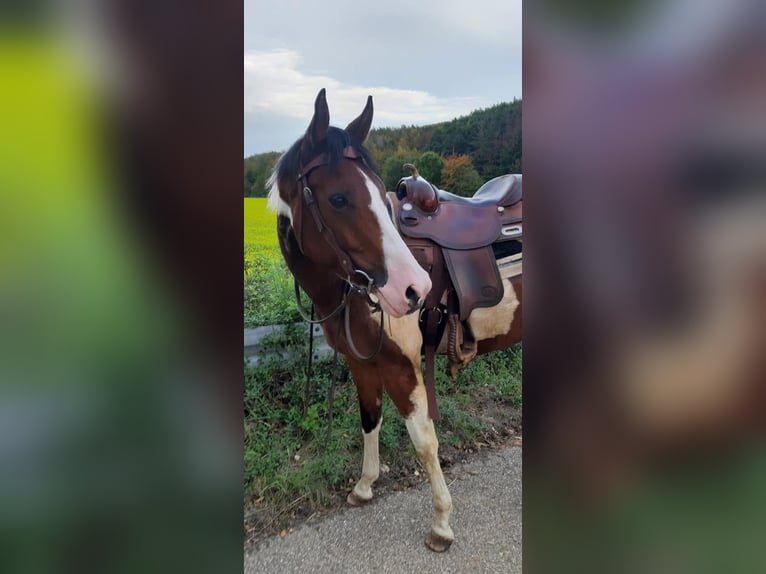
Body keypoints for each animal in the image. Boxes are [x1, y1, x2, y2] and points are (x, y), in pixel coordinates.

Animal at [268, 90, 524, 552]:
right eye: (338, 198)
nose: (414, 289)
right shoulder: (362, 363)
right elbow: (370, 420)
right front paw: (364, 486)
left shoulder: (402, 367)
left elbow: (423, 440)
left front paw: (441, 523)